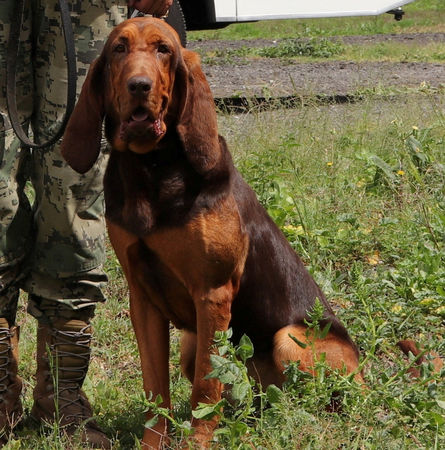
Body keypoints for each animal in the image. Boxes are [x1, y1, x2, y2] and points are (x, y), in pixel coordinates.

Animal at [61, 16, 364, 446]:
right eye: (119, 48)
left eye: (164, 50)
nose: (139, 85)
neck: (151, 169)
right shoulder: (143, 299)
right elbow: (156, 390)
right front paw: (155, 443)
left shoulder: (213, 294)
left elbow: (206, 388)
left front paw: (198, 442)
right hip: (192, 343)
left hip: (288, 339)